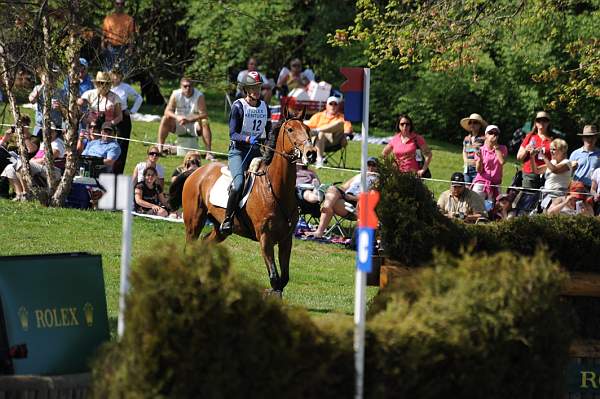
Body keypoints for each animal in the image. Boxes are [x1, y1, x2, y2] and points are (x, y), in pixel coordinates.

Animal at [170, 112, 318, 296]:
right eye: (290, 129)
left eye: (308, 129)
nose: (311, 153)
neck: (275, 189)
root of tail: (197, 172)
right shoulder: (265, 239)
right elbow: (275, 278)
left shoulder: (286, 240)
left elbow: (283, 280)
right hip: (194, 223)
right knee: (189, 248)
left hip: (219, 229)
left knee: (204, 245)